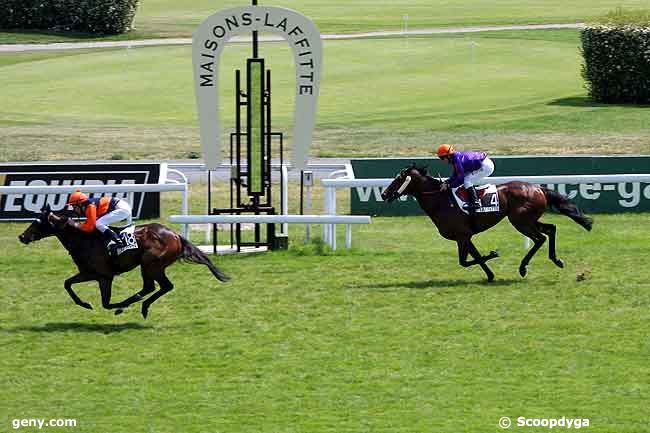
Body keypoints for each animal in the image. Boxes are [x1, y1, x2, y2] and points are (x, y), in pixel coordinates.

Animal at [17, 202, 229, 318]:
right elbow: (67, 283)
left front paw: (115, 307)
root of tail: (175, 235)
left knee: (158, 286)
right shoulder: (89, 273)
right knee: (156, 287)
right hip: (152, 266)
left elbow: (105, 303)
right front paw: (86, 304)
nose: (22, 236)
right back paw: (141, 305)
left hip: (150, 264)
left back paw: (138, 305)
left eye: (37, 222)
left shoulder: (103, 276)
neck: (83, 239)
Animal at [380, 165, 592, 280]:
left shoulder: (462, 236)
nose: (384, 194)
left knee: (540, 238)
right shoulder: (466, 237)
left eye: (398, 179)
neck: (441, 200)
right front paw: (490, 275)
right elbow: (473, 259)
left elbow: (464, 262)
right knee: (551, 229)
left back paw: (523, 267)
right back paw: (556, 260)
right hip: (529, 219)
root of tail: (538, 188)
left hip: (520, 221)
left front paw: (494, 253)